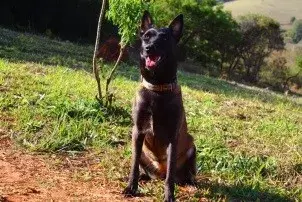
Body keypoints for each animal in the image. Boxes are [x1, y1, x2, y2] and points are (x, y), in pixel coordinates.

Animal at [122, 11, 196, 202]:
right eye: (146, 37)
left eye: (164, 38)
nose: (149, 48)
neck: (158, 88)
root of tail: (158, 173)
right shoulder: (138, 132)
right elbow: (133, 165)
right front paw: (131, 187)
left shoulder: (172, 137)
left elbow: (170, 176)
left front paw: (169, 195)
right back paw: (143, 176)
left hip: (192, 147)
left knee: (183, 174)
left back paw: (190, 183)